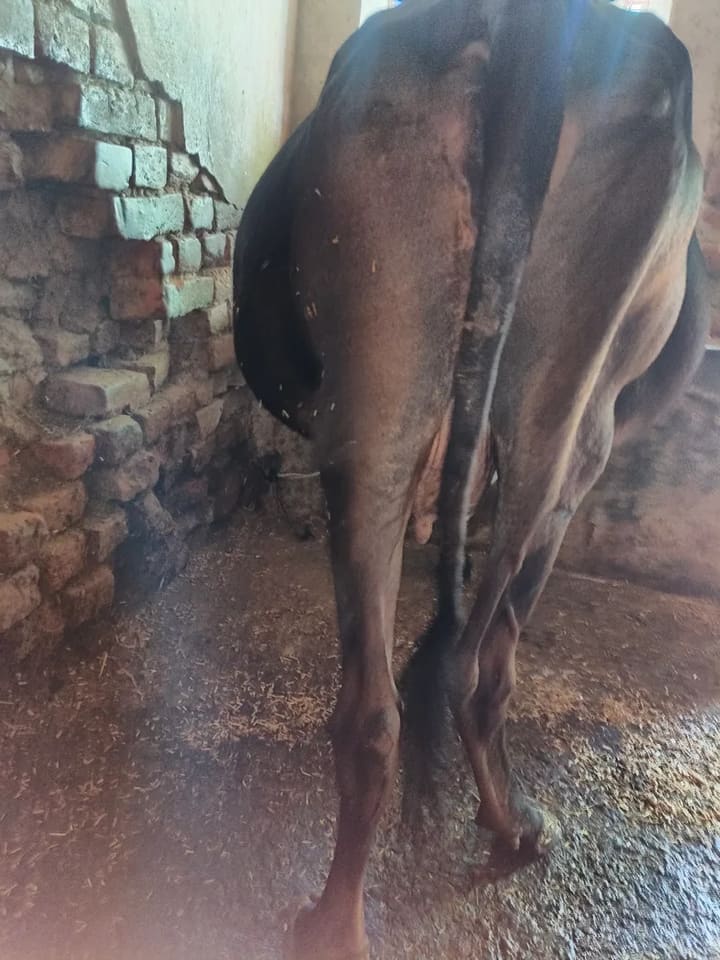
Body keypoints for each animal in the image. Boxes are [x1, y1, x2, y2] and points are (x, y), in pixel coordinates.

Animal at [232, 1, 708, 957]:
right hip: (570, 427)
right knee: (479, 664)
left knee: (373, 710)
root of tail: (530, 23)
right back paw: (515, 823)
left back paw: (337, 923)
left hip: (380, 394)